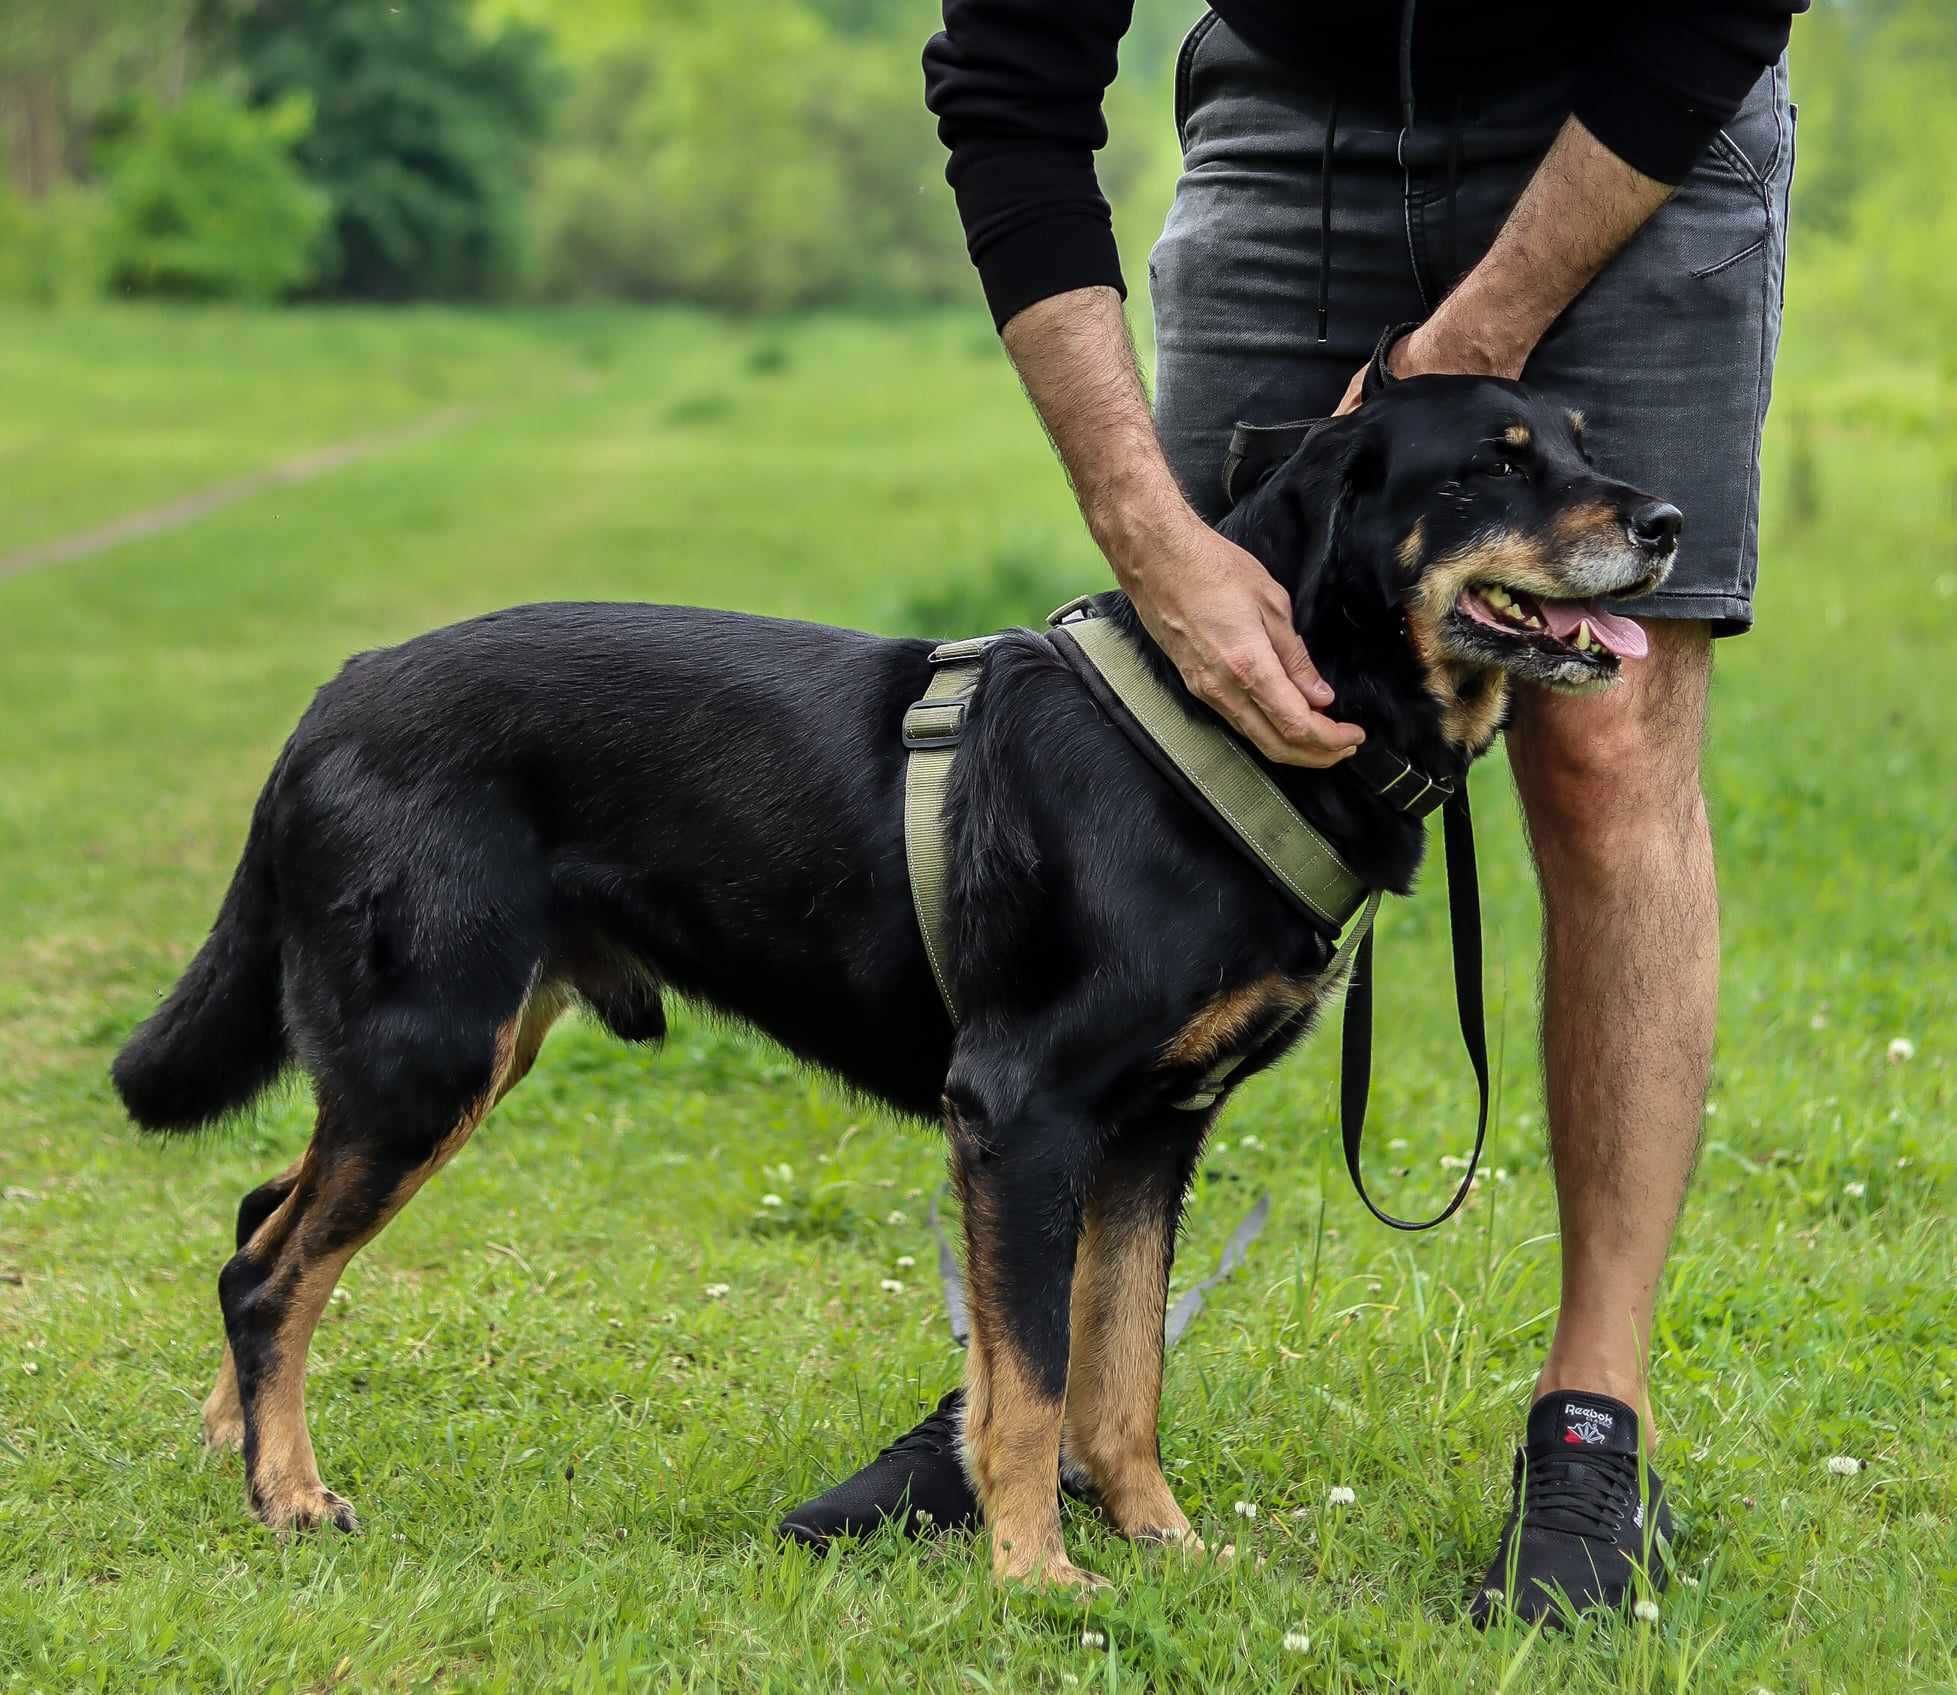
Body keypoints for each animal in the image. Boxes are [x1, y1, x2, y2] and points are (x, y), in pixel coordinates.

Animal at [111, 369, 1667, 1581]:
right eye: (1493, 464)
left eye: (1582, 438)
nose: (1666, 524)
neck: (1232, 720)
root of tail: (332, 698)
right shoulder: (1022, 1111)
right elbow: (1031, 1379)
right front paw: (1036, 1572)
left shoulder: (1154, 1134)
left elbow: (1121, 1374)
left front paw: (1162, 1546)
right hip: (428, 1046)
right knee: (267, 1268)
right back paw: (290, 1493)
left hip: (441, 1053)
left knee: (260, 1220)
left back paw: (236, 1441)